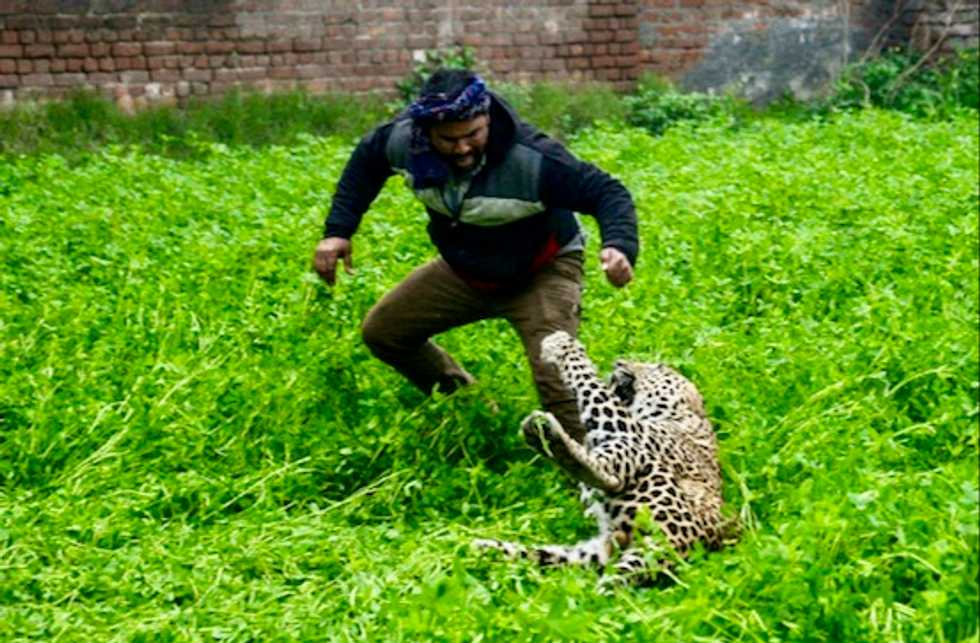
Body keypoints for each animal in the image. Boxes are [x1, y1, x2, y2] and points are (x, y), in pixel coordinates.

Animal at [474, 330, 736, 587]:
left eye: (658, 367)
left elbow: (591, 383)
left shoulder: (627, 426)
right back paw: (484, 547)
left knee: (610, 477)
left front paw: (562, 344)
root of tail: (677, 547)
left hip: (649, 477)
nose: (619, 362)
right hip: (589, 555)